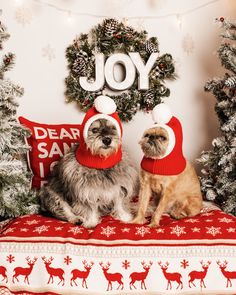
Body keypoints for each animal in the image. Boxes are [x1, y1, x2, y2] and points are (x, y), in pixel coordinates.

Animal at [39, 97, 137, 229]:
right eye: (94, 130)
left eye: (113, 128)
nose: (107, 140)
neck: (101, 163)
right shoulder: (85, 193)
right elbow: (89, 208)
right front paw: (91, 222)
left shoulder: (119, 188)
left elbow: (119, 204)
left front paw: (125, 217)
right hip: (51, 194)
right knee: (63, 210)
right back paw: (76, 219)